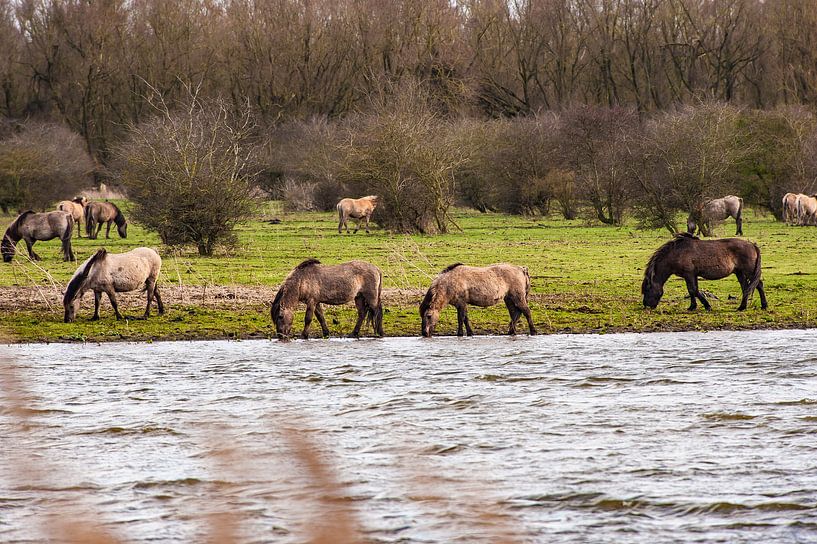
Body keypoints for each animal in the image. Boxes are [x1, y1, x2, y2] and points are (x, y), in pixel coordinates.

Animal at [640, 233, 768, 312]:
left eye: (647, 289)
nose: (646, 305)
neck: (677, 252)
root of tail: (752, 245)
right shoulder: (692, 275)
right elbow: (692, 291)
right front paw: (692, 307)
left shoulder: (689, 274)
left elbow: (693, 290)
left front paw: (707, 306)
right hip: (739, 273)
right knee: (746, 287)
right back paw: (742, 307)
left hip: (749, 271)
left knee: (759, 285)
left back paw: (763, 305)